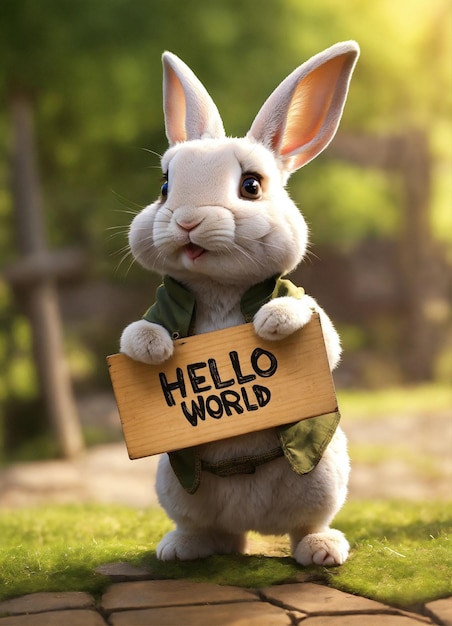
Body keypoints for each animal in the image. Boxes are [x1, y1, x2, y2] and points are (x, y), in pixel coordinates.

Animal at [120, 41, 360, 564]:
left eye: (251, 186)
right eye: (164, 187)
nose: (187, 221)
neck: (220, 292)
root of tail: (252, 527)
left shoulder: (313, 317)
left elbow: (322, 333)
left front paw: (273, 322)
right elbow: (137, 329)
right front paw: (152, 348)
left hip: (324, 479)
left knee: (306, 525)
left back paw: (322, 551)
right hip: (174, 486)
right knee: (212, 532)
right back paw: (180, 549)